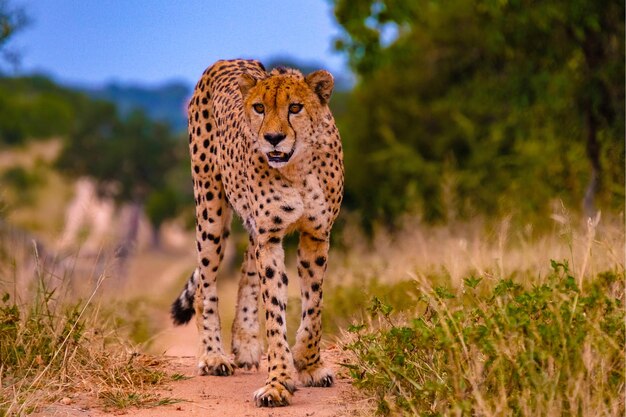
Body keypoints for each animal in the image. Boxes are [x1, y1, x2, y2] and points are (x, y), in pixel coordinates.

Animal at [169, 59, 342, 406]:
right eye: (259, 107)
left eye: (295, 107)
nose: (273, 138)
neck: (298, 168)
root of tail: (224, 60)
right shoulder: (271, 237)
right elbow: (274, 311)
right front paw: (278, 382)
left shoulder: (316, 235)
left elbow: (314, 306)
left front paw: (309, 364)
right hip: (210, 209)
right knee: (206, 281)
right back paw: (213, 355)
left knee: (247, 264)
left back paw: (246, 342)